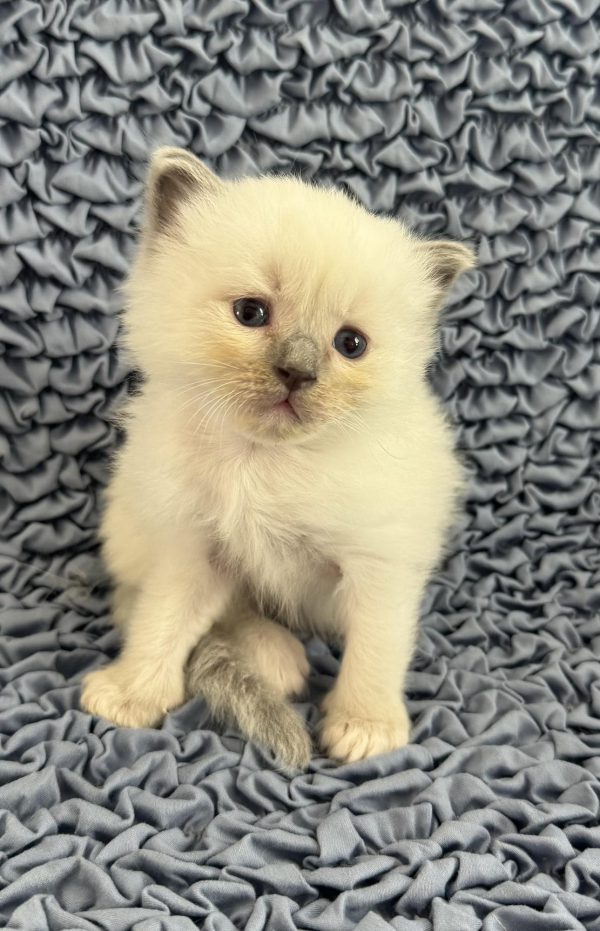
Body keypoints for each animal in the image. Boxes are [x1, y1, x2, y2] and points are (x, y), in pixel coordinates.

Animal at [81, 149, 474, 768]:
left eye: (351, 344)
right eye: (250, 312)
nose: (298, 372)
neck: (262, 461)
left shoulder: (379, 564)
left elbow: (377, 647)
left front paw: (365, 726)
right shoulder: (194, 549)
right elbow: (162, 619)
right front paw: (131, 693)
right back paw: (275, 656)